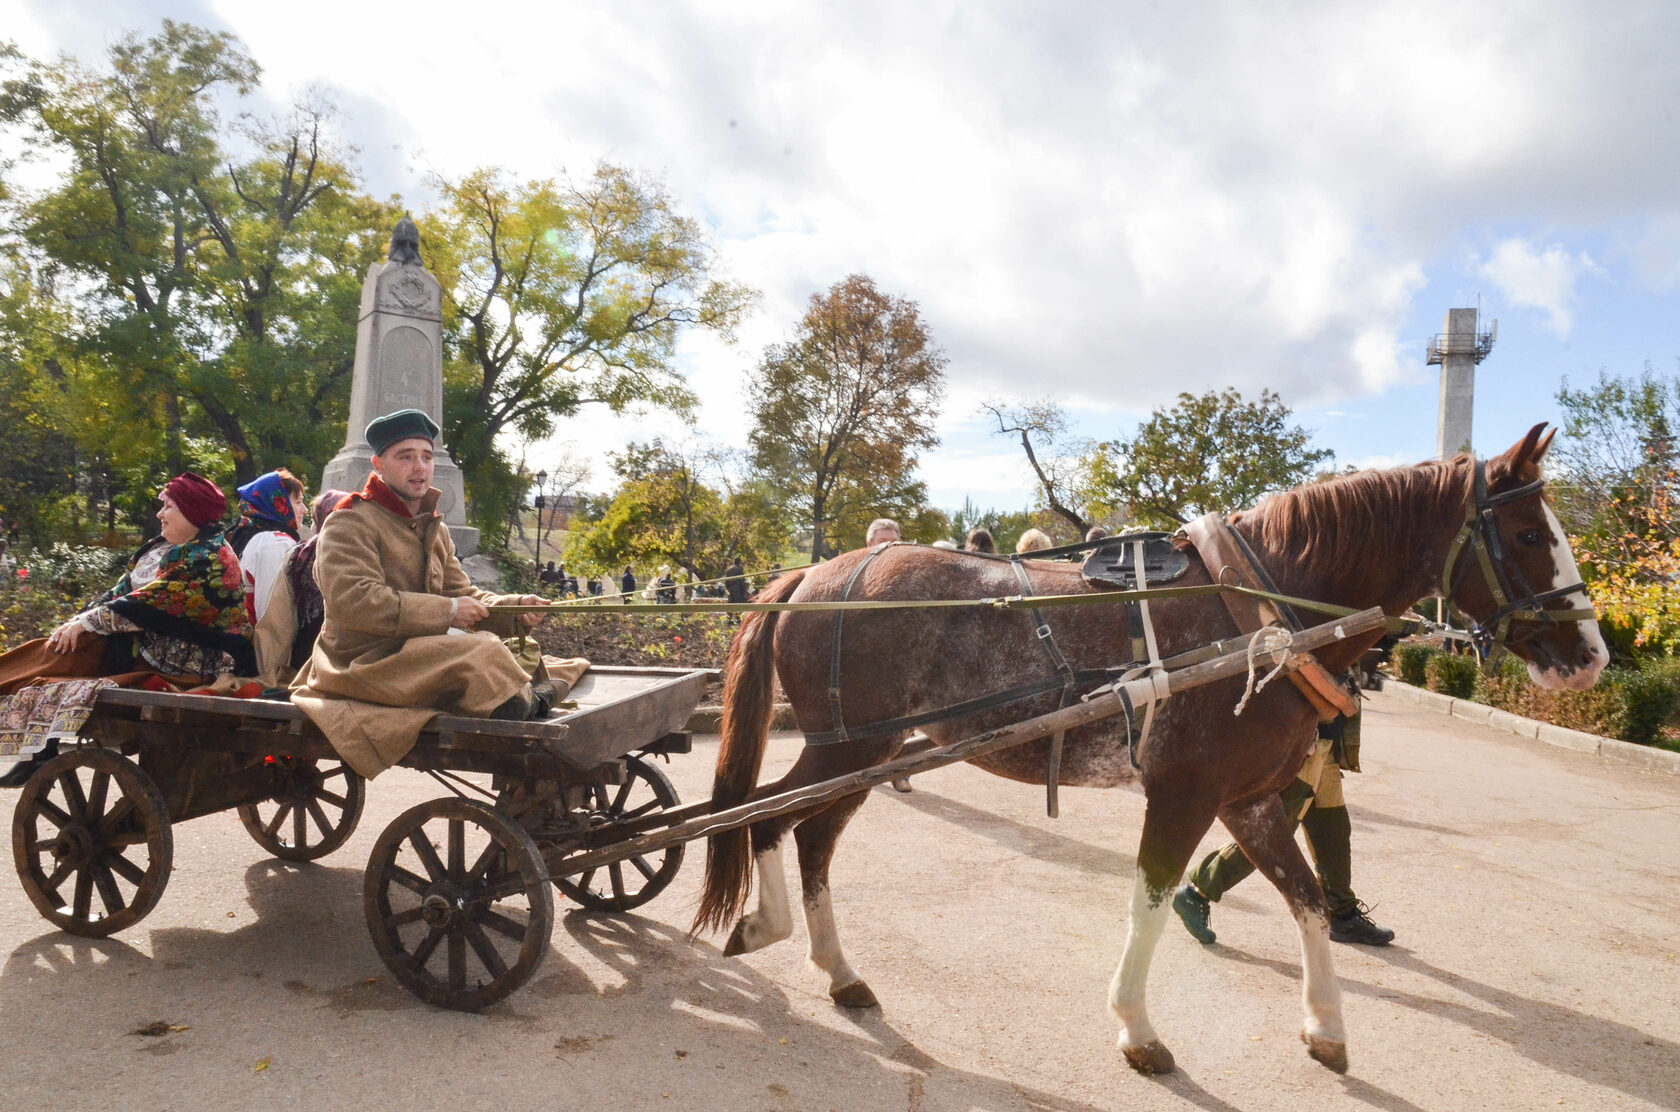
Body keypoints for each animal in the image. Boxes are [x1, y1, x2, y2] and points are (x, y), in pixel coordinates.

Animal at [688, 423, 1606, 1075]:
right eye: (1530, 536)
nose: (1593, 654)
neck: (1263, 611)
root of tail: (811, 576)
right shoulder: (1185, 794)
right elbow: (1153, 901)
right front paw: (1136, 1028)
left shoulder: (1250, 798)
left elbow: (1307, 899)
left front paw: (1326, 1025)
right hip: (850, 748)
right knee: (766, 820)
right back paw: (771, 925)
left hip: (870, 754)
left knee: (808, 835)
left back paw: (837, 970)